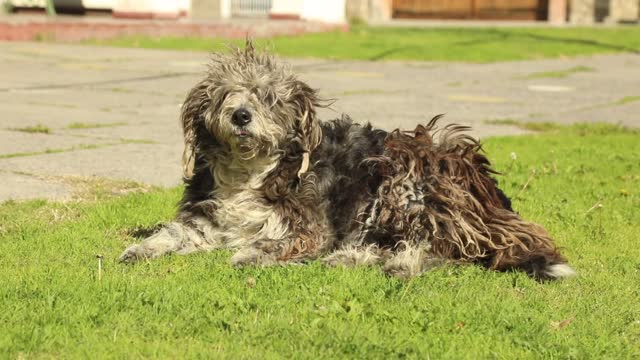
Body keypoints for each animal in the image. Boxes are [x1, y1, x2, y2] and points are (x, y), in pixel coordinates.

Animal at [119, 42, 576, 282]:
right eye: (225, 95)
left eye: (268, 97)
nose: (241, 116)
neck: (253, 170)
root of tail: (491, 200)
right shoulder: (206, 217)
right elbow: (172, 233)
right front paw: (141, 248)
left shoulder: (309, 228)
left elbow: (274, 242)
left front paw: (252, 254)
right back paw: (353, 258)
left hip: (403, 178)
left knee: (440, 248)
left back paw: (397, 263)